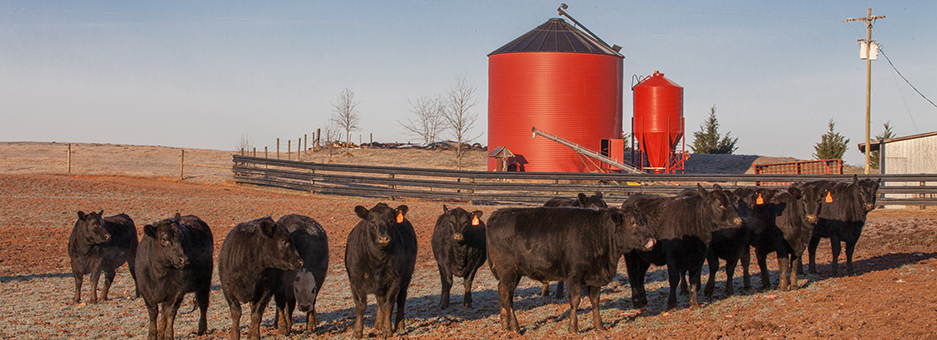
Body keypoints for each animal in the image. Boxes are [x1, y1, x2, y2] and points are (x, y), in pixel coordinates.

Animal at [346, 203, 414, 338]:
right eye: (372, 221)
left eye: (391, 221)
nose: (383, 238)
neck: (377, 259)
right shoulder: (355, 279)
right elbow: (361, 305)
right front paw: (357, 331)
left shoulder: (395, 280)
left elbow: (388, 305)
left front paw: (387, 330)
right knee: (379, 302)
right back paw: (378, 324)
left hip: (406, 278)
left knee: (400, 300)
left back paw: (399, 325)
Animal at [486, 206, 656, 334]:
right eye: (633, 222)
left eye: (646, 221)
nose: (651, 240)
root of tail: (496, 215)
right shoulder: (574, 276)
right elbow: (575, 301)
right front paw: (573, 329)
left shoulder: (595, 277)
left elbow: (595, 301)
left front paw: (599, 327)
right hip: (509, 273)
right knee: (507, 296)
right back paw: (515, 328)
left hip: (508, 276)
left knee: (503, 294)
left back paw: (505, 326)